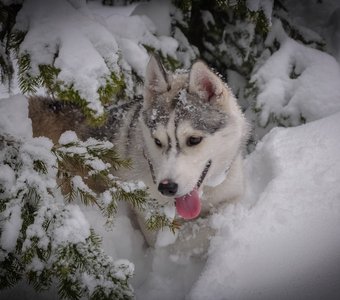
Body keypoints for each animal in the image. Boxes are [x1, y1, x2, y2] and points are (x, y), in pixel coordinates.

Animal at [29, 55, 250, 250]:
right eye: (158, 141)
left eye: (193, 140)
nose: (166, 187)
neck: (206, 196)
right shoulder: (156, 230)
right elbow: (196, 234)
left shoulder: (232, 191)